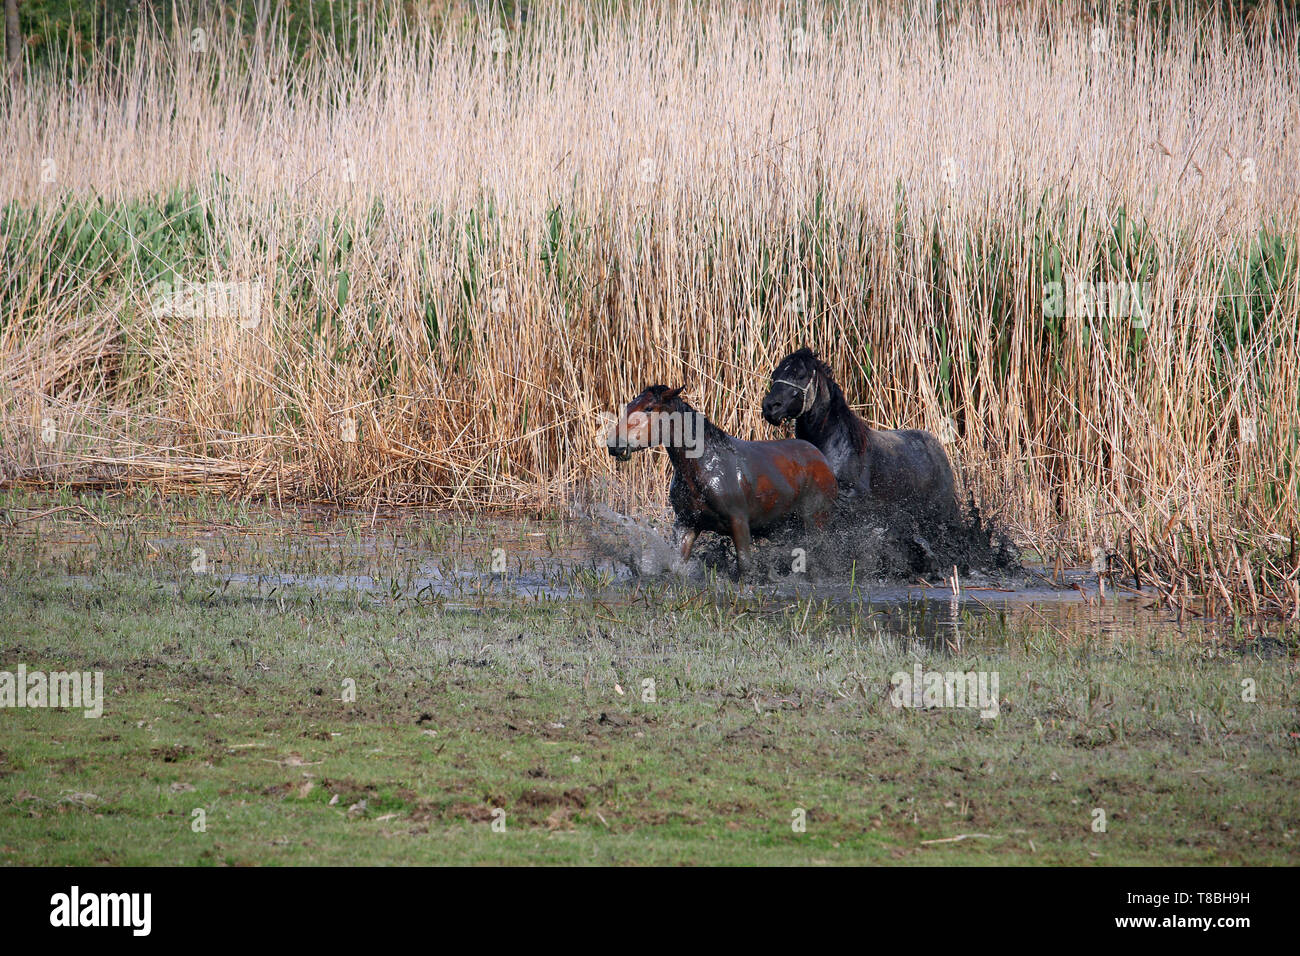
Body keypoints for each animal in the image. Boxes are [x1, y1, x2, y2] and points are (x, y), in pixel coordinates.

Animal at [607, 385, 838, 575]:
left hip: (816, 522)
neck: (702, 468)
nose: (614, 444)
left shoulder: (739, 523)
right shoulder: (687, 524)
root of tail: (822, 460)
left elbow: (745, 568)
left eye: (648, 408)